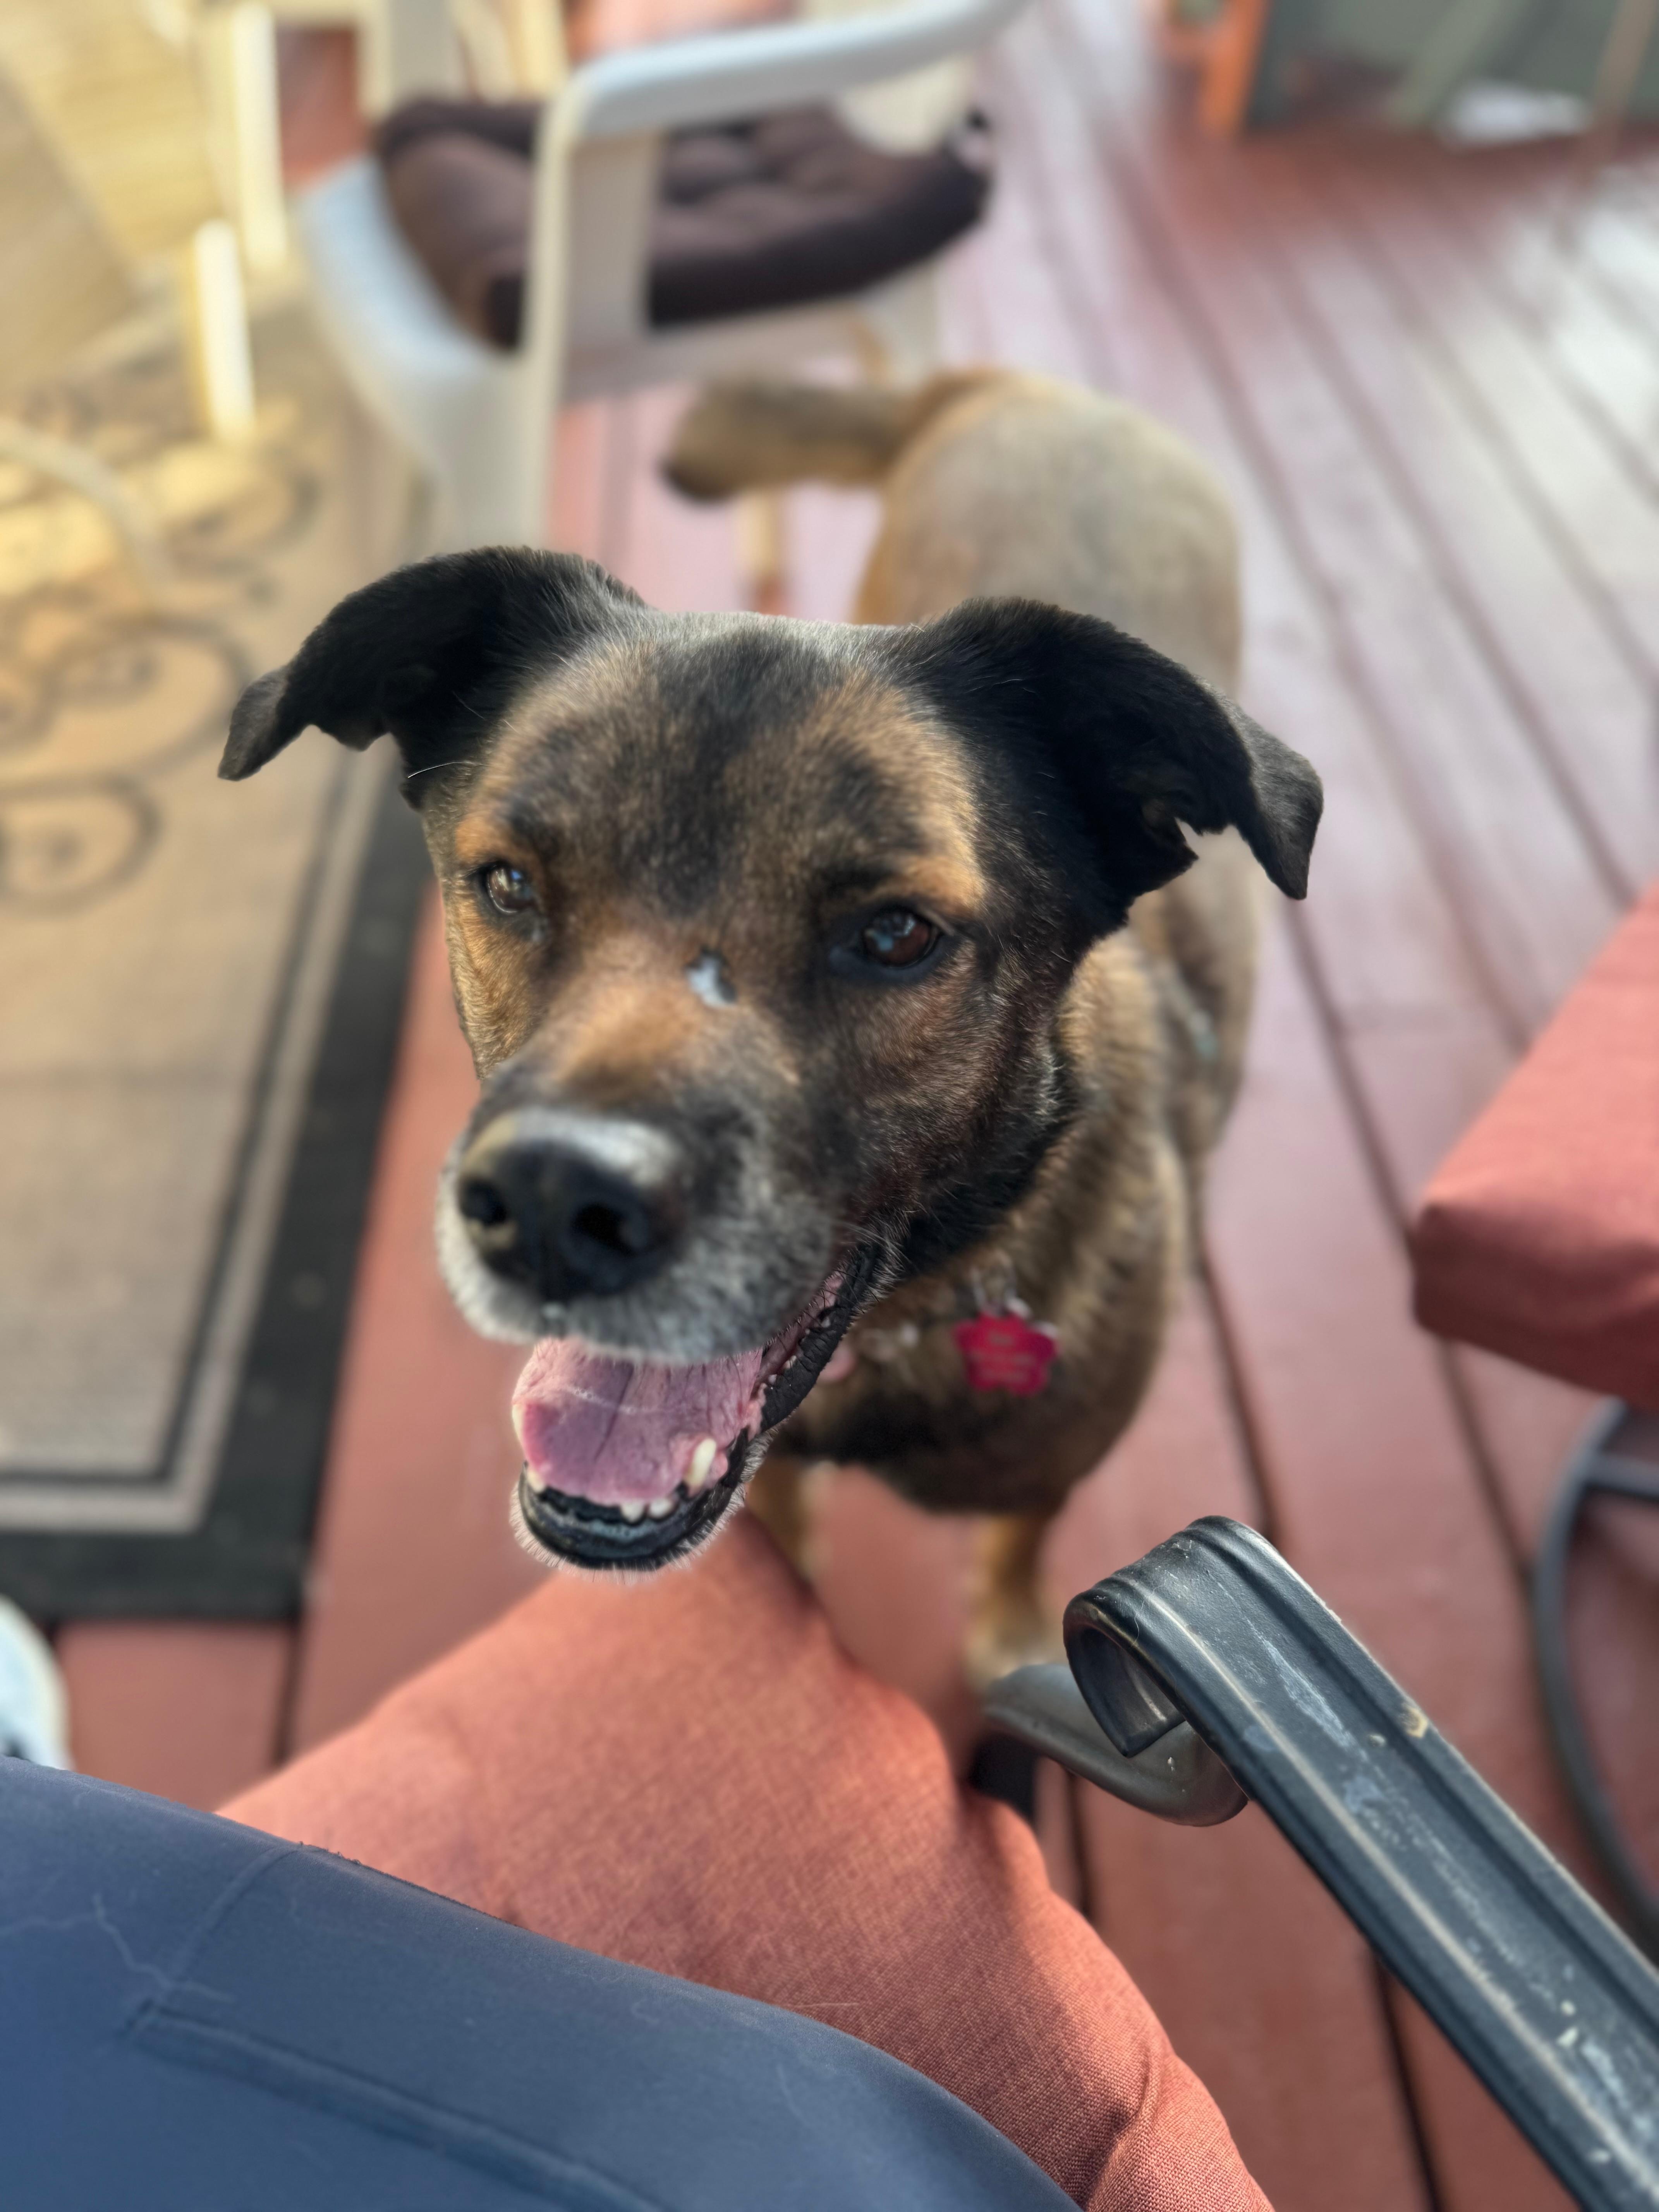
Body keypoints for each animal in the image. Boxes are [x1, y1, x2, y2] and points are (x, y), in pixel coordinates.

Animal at [220, 367, 1319, 1677]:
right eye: (510, 884)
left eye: (895, 934)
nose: (548, 1205)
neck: (895, 1332)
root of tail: (1028, 387)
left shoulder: (1043, 1477)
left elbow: (1017, 1543)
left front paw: (1010, 1639)